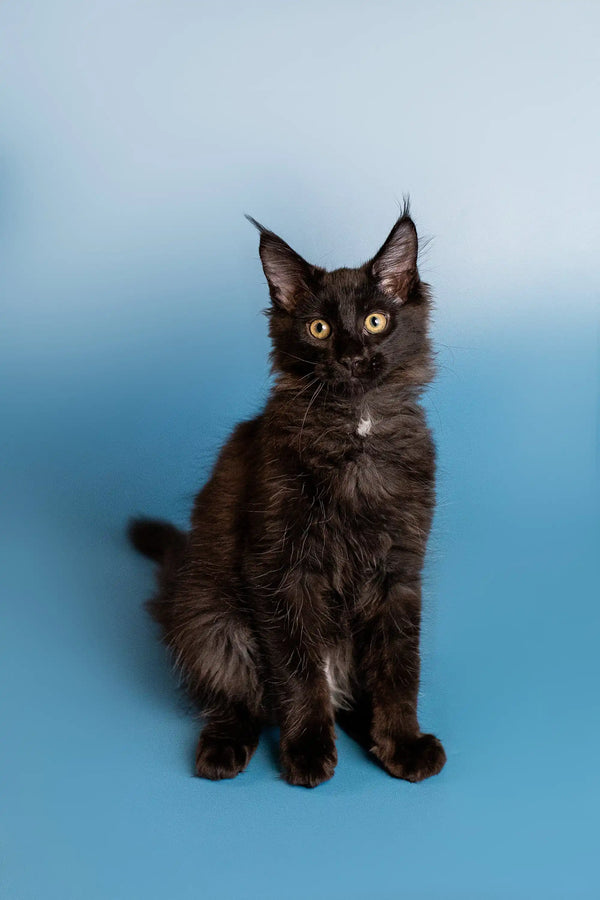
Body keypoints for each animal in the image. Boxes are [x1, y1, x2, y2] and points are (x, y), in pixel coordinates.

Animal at [127, 206, 446, 788]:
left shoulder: (398, 570)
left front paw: (402, 742)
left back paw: (364, 727)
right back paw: (224, 746)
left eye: (375, 321)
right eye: (319, 329)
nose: (351, 355)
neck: (356, 431)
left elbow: (398, 669)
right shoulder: (279, 569)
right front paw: (307, 749)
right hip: (212, 617)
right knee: (237, 696)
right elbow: (299, 671)